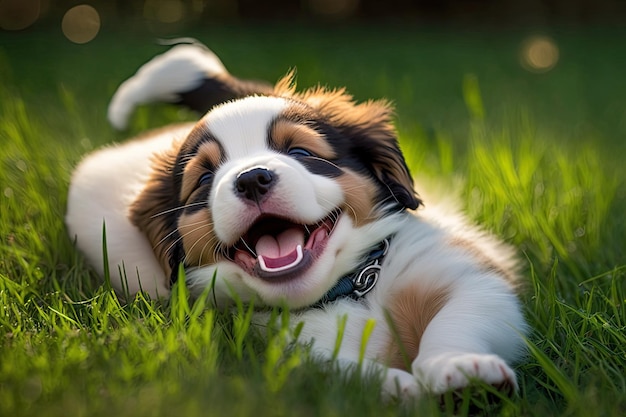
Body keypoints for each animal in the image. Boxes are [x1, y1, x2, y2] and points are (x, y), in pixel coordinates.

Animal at [66, 40, 524, 398]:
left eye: (301, 152)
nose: (252, 179)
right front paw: (395, 388)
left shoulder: (462, 274)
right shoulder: (278, 345)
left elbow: (459, 315)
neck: (351, 291)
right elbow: (335, 369)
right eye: (205, 179)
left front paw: (461, 369)